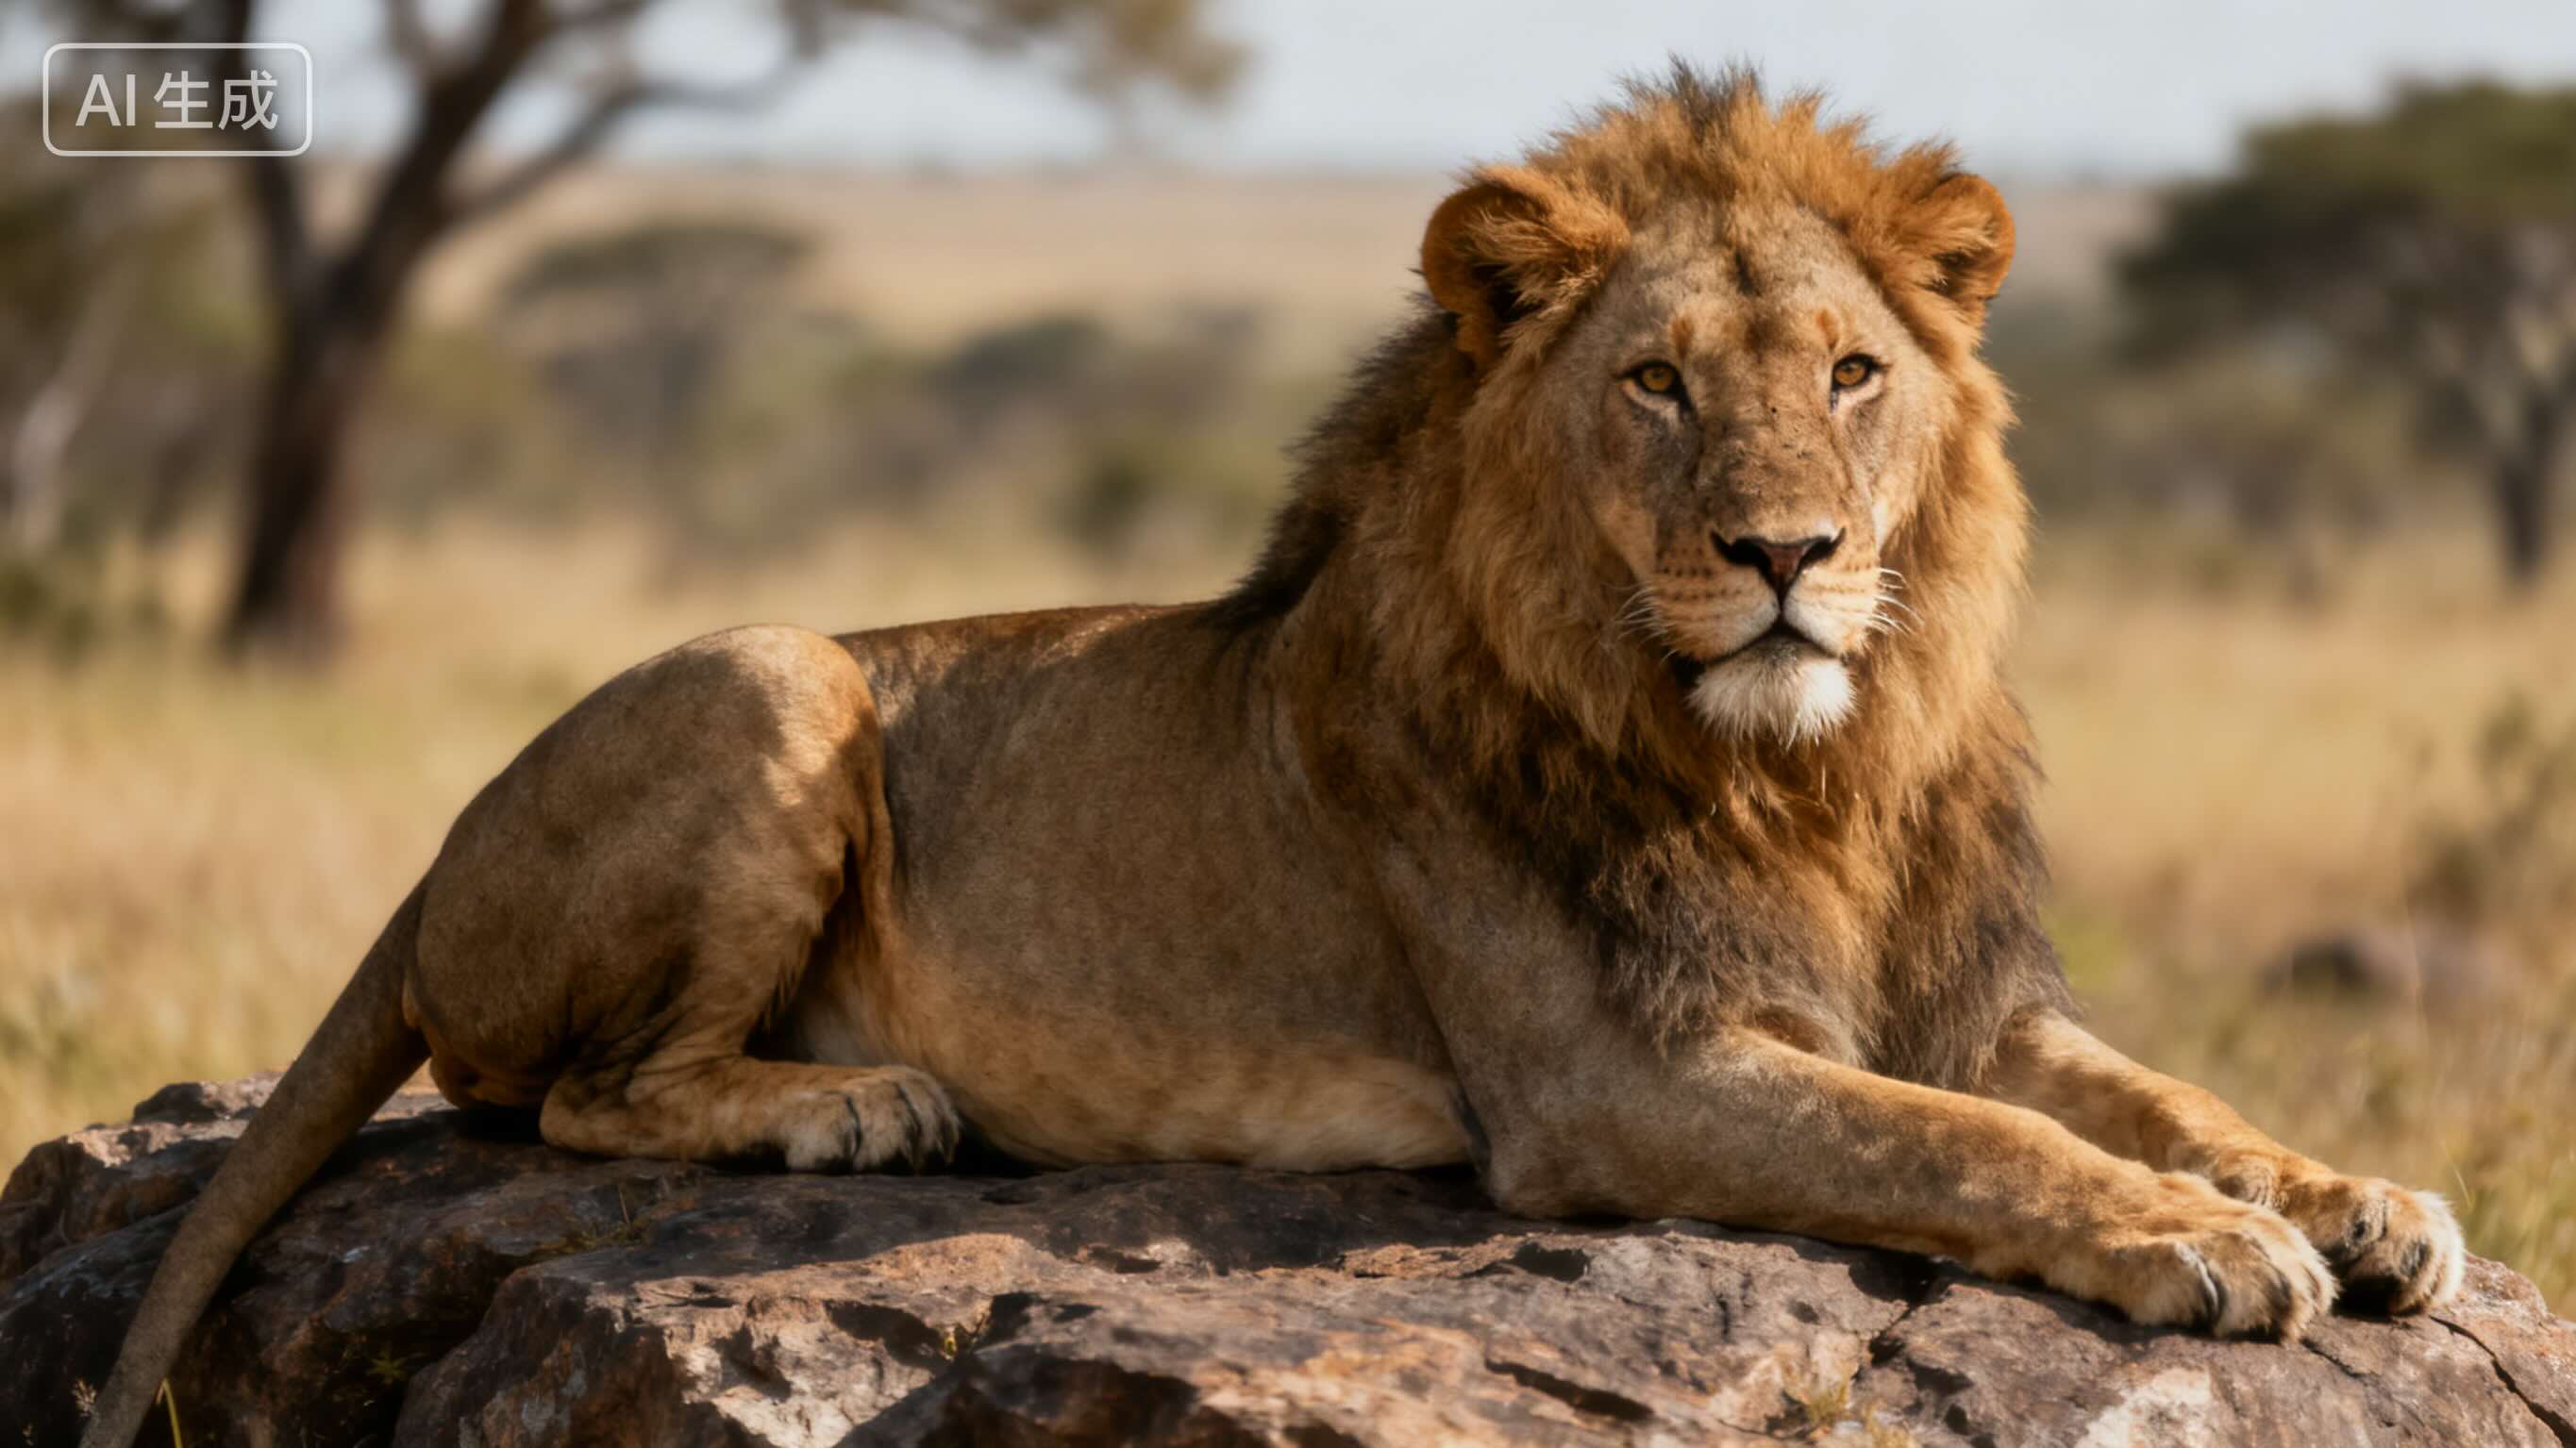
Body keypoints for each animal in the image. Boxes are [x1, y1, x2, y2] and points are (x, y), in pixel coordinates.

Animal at [80, 67, 2464, 1447]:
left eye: (1855, 373)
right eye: (1659, 386)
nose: (1786, 554)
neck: (1809, 766)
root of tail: (437, 855)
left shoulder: (1968, 992)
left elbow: (2152, 1090)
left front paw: (2361, 1200)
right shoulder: (1620, 1078)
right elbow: (1974, 1145)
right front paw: (2206, 1243)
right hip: (774, 671)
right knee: (572, 1091)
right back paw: (851, 1103)